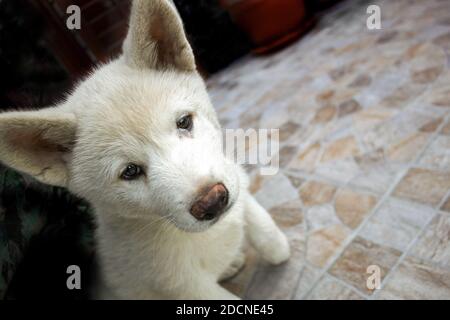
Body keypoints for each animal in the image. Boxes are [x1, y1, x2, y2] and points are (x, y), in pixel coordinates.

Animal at [0, 0, 288, 300]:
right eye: (130, 172)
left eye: (184, 122)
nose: (212, 201)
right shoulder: (185, 286)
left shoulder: (229, 171)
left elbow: (257, 216)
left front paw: (277, 247)